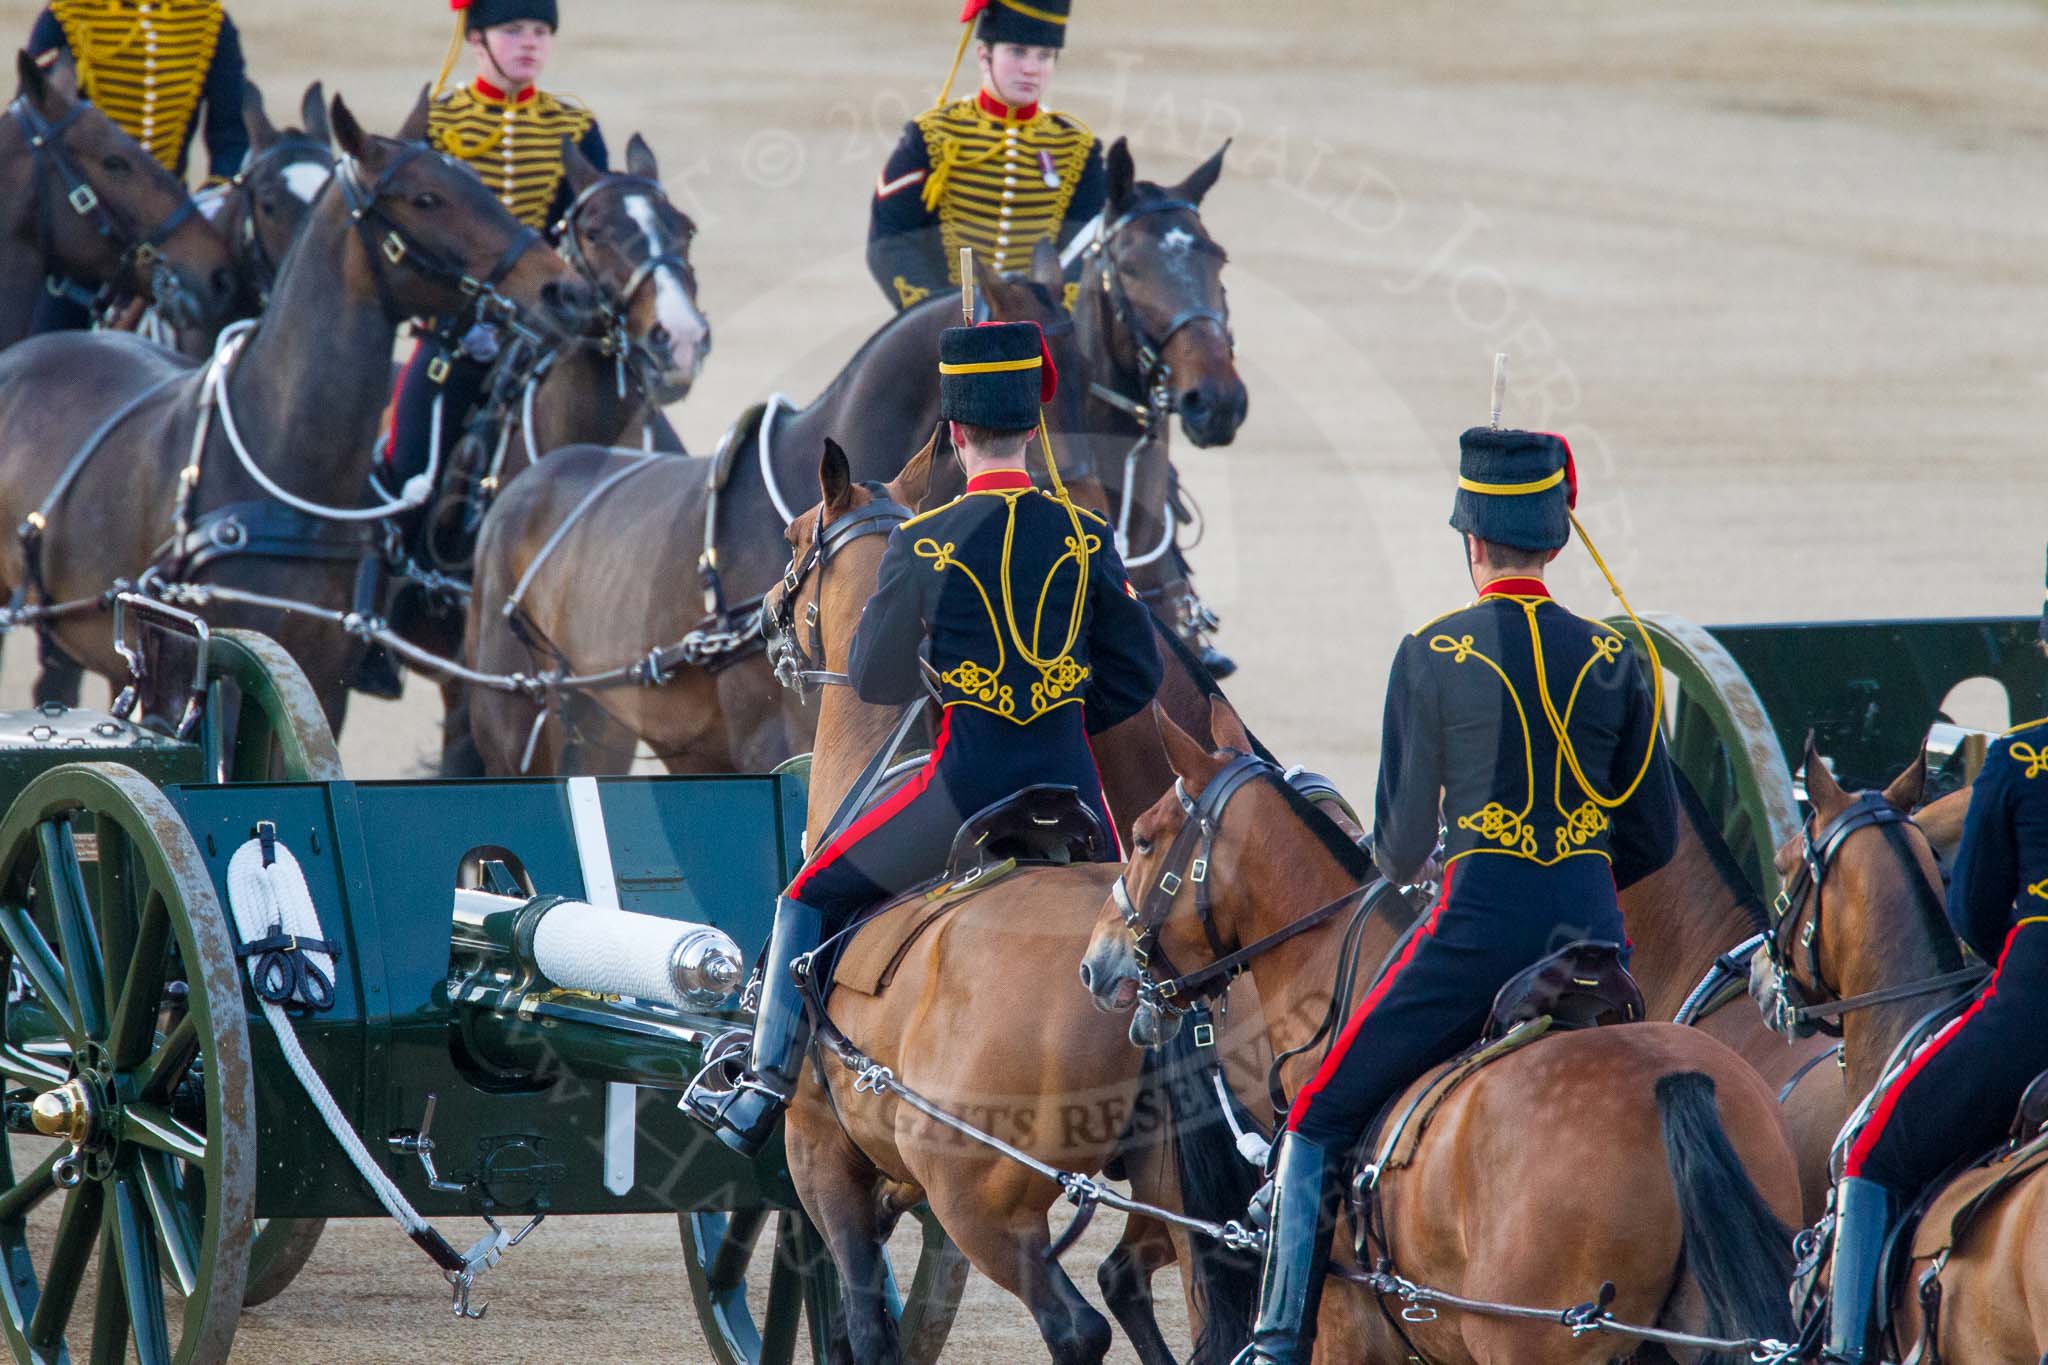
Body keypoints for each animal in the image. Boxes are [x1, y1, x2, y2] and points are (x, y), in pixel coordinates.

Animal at [0, 92, 598, 736]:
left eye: (479, 185)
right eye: (425, 198)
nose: (565, 291)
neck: (289, 471)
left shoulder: (322, 681)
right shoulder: (221, 668)